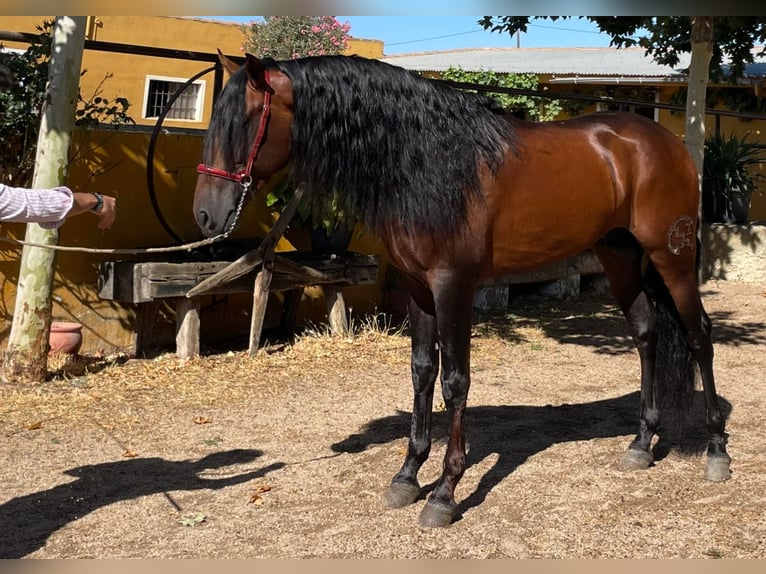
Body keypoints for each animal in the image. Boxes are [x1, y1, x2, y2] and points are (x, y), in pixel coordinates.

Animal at [192, 51, 732, 528]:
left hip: (671, 258)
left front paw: (445, 494)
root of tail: (664, 141)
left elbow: (454, 381)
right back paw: (641, 444)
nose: (205, 215)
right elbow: (421, 372)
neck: (425, 161)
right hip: (618, 256)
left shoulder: (453, 285)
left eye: (244, 123)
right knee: (646, 334)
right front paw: (408, 476)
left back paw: (716, 451)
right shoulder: (417, 288)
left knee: (699, 336)